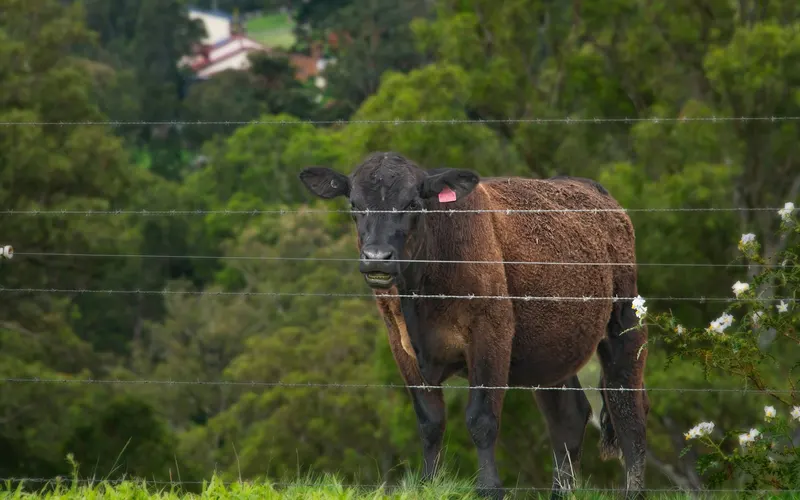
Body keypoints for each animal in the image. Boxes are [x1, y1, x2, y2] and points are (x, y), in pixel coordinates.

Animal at [298, 151, 649, 499]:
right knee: (569, 418)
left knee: (629, 414)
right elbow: (430, 422)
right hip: (550, 352)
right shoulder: (401, 346)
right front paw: (428, 484)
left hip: (625, 324)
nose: (376, 258)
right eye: (354, 204)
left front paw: (489, 488)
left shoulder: (490, 334)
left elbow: (481, 419)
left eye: (413, 203)